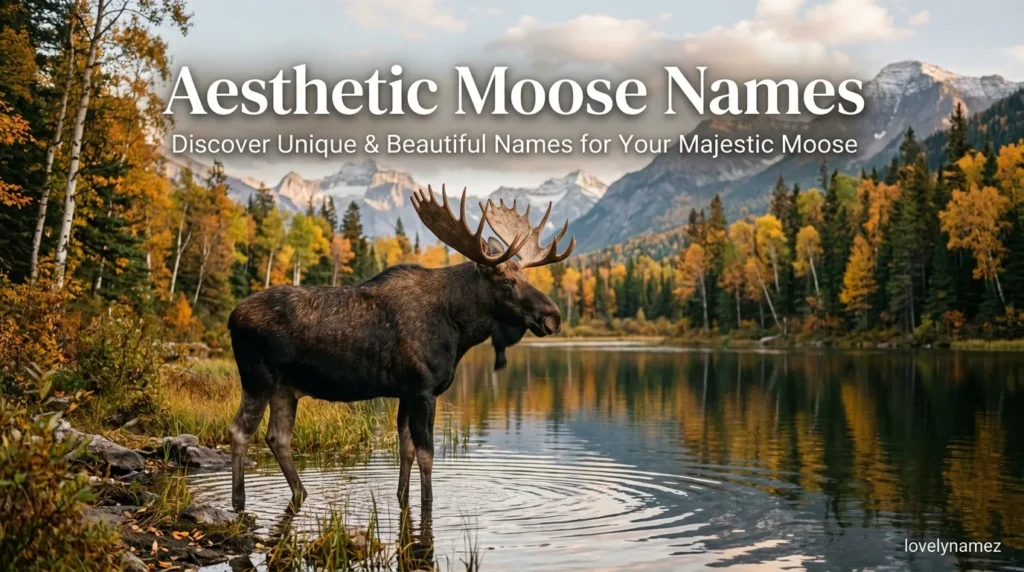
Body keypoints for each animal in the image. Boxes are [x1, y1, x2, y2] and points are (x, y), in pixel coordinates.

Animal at [226, 185, 575, 517]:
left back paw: (299, 492)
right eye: (505, 281)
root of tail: (232, 318)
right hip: (257, 378)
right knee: (239, 431)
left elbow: (405, 450)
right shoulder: (423, 389)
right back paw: (239, 501)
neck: (458, 328)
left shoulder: (406, 391)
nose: (553, 316)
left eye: (525, 275)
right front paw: (428, 503)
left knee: (277, 437)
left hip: (286, 388)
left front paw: (402, 497)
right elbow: (426, 455)